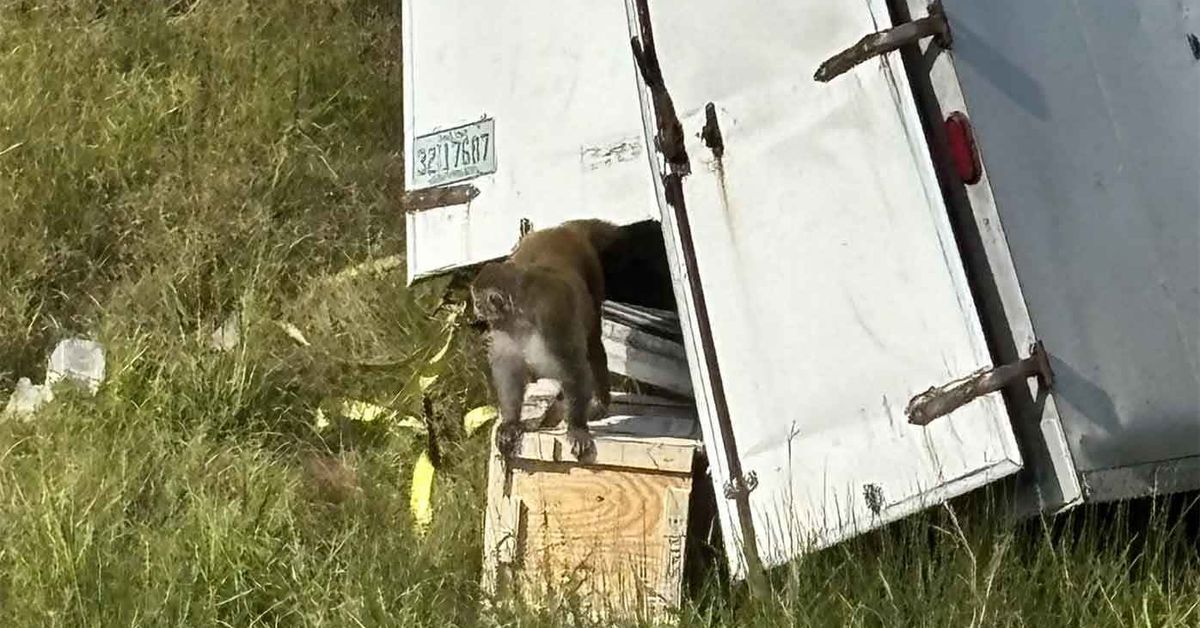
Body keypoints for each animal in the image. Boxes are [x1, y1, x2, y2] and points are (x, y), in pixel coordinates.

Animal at [470, 219, 621, 461]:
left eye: (477, 302)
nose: (475, 311)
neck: (520, 316)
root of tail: (562, 229)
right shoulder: (504, 329)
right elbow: (509, 370)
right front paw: (510, 422)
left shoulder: (552, 318)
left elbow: (574, 367)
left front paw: (577, 428)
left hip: (592, 272)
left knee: (592, 343)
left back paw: (600, 401)